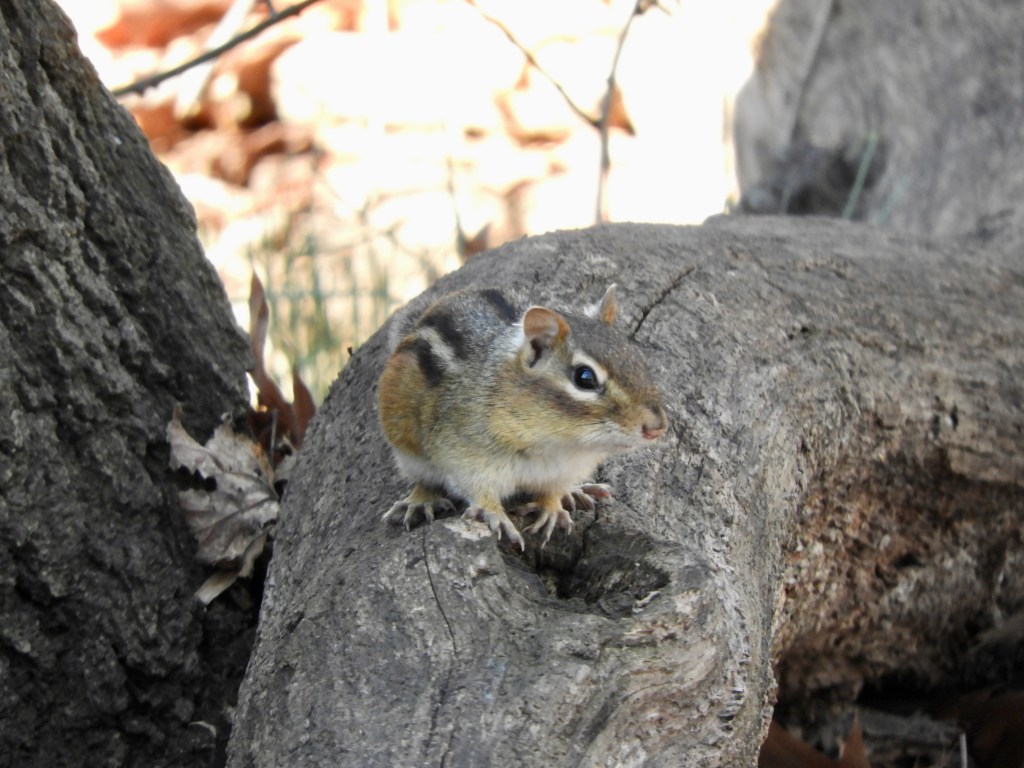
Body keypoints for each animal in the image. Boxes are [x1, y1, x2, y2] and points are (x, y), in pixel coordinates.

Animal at [377, 285, 668, 550]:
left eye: (639, 359)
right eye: (584, 378)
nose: (657, 428)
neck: (558, 444)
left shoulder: (563, 472)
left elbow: (552, 492)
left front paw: (552, 509)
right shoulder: (463, 457)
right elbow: (477, 491)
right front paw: (496, 515)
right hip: (406, 448)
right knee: (423, 479)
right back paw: (419, 500)